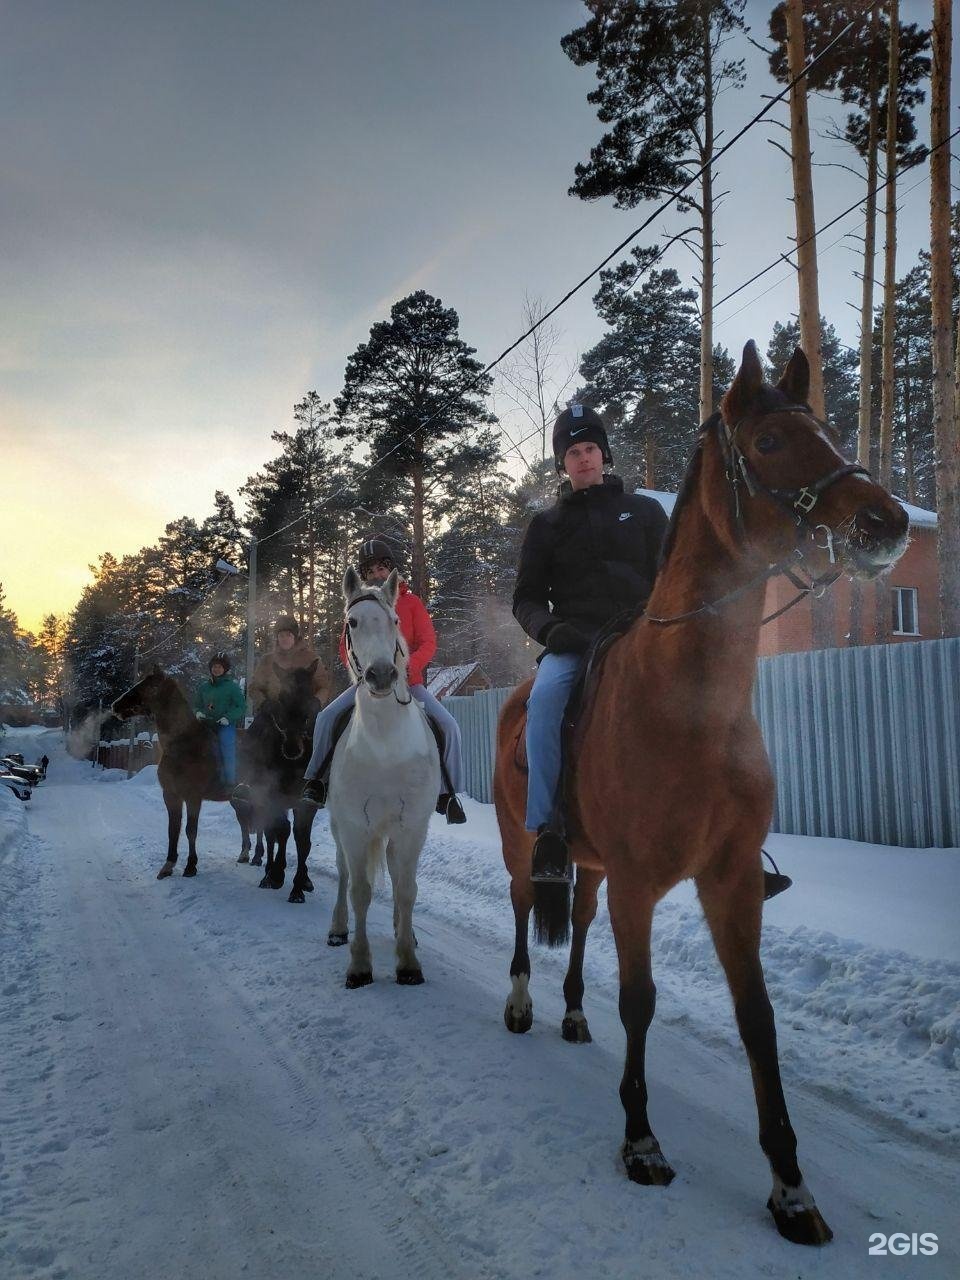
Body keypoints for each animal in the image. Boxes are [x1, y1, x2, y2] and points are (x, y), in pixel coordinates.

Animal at [325, 570, 442, 988]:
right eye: (352, 623)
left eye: (394, 621)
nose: (380, 675)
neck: (385, 746)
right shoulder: (354, 826)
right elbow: (360, 890)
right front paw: (360, 965)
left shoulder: (413, 826)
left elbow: (406, 889)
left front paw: (407, 961)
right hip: (338, 825)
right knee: (343, 871)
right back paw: (337, 929)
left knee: (393, 870)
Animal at [491, 345, 911, 1244]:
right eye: (772, 440)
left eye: (828, 427)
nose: (886, 523)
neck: (693, 709)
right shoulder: (641, 884)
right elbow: (640, 1001)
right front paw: (642, 1142)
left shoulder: (730, 883)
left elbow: (758, 1018)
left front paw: (791, 1187)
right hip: (525, 845)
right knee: (523, 906)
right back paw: (520, 1002)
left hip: (594, 867)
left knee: (577, 923)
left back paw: (571, 1014)